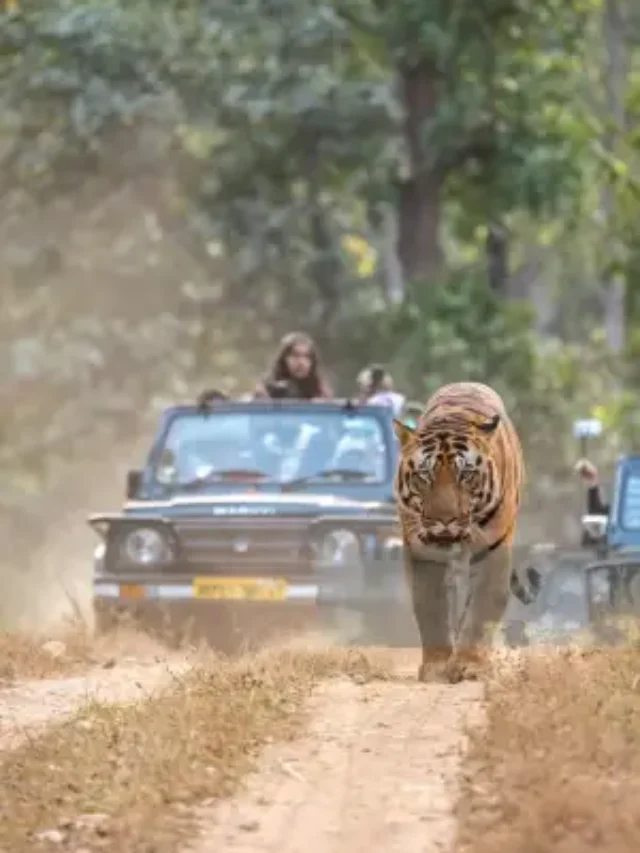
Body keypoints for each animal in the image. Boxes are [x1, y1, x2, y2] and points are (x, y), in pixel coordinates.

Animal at [392, 382, 544, 684]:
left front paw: (470, 666)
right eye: (424, 475)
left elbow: (482, 608)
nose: (444, 519)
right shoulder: (424, 554)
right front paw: (437, 666)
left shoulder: (493, 550)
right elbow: (430, 606)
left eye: (466, 475)